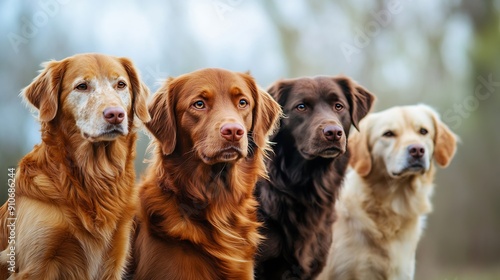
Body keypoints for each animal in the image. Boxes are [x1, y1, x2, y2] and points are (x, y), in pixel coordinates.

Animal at [0, 53, 150, 278]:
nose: (115, 114)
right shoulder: (34, 264)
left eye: (121, 85)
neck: (94, 176)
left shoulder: (114, 258)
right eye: (82, 86)